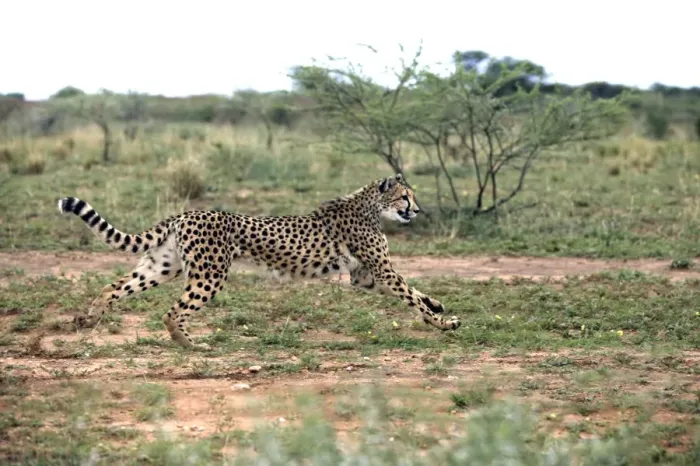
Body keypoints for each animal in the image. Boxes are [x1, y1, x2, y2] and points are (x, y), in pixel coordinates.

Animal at [56, 173, 461, 350]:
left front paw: (438, 306)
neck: (371, 207)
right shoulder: (381, 271)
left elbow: (415, 291)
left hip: (164, 266)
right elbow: (409, 294)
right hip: (209, 274)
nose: (417, 210)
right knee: (172, 311)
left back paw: (88, 318)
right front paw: (443, 323)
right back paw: (190, 344)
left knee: (114, 287)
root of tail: (185, 213)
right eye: (405, 196)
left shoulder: (366, 276)